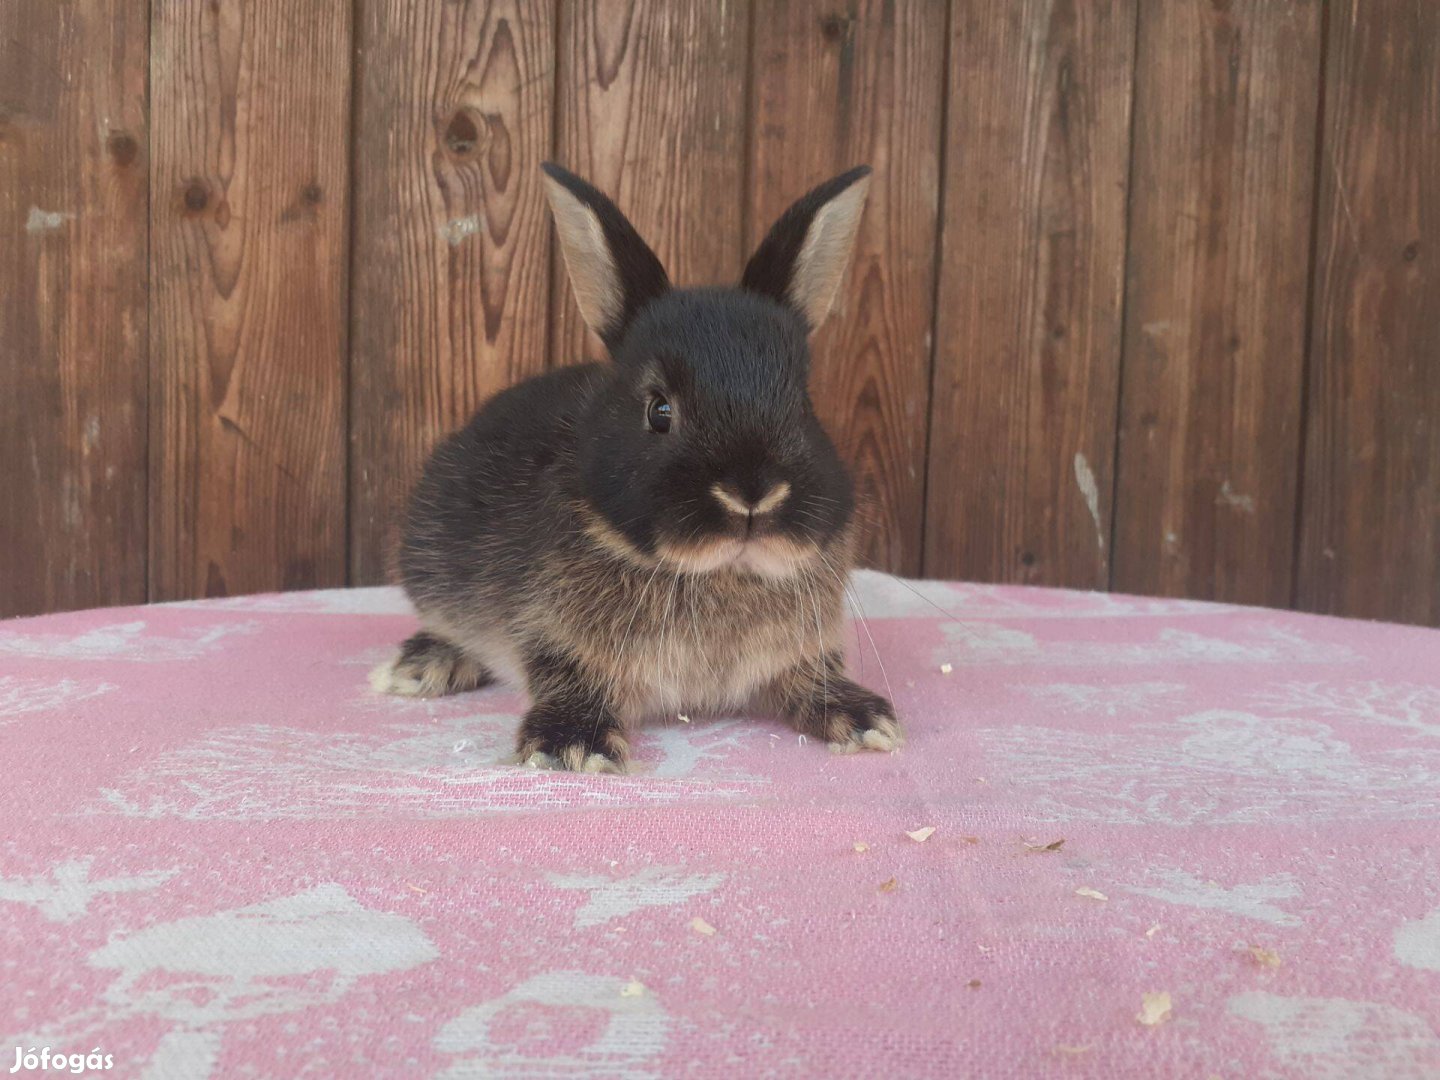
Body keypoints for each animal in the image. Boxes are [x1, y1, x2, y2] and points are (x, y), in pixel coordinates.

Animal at [374, 160, 898, 771]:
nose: (752, 493)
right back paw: (420, 667)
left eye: (804, 404)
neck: (718, 574)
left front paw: (864, 720)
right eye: (658, 410)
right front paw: (571, 746)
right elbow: (569, 677)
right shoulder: (551, 635)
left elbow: (810, 677)